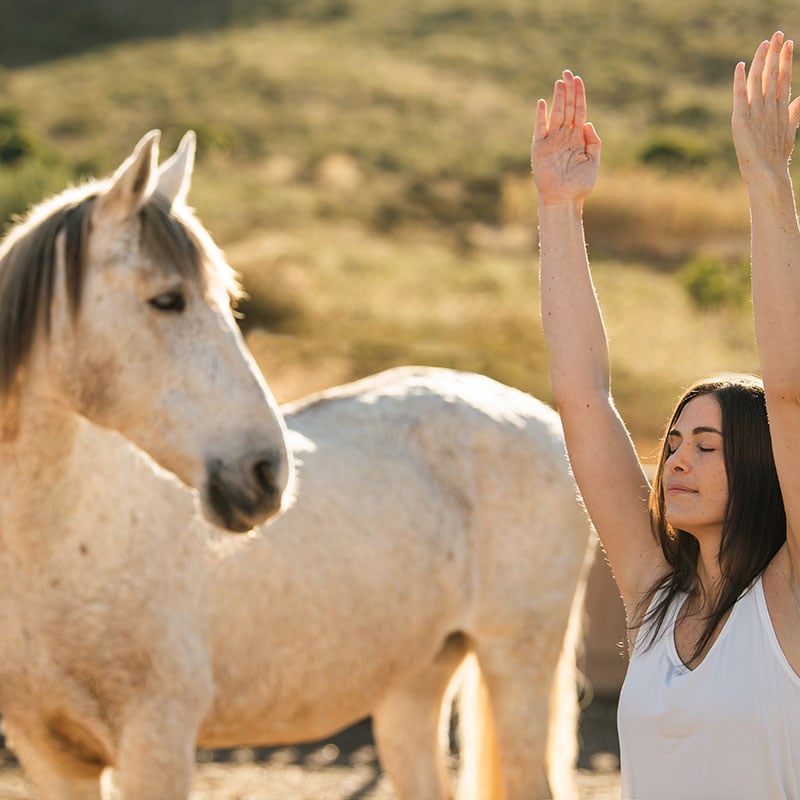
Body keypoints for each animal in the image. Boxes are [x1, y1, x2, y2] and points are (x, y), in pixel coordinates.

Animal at [0, 134, 592, 796]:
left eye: (228, 301)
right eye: (167, 300)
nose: (265, 474)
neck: (66, 540)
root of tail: (543, 420)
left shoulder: (157, 745)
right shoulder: (50, 756)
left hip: (516, 662)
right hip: (414, 684)